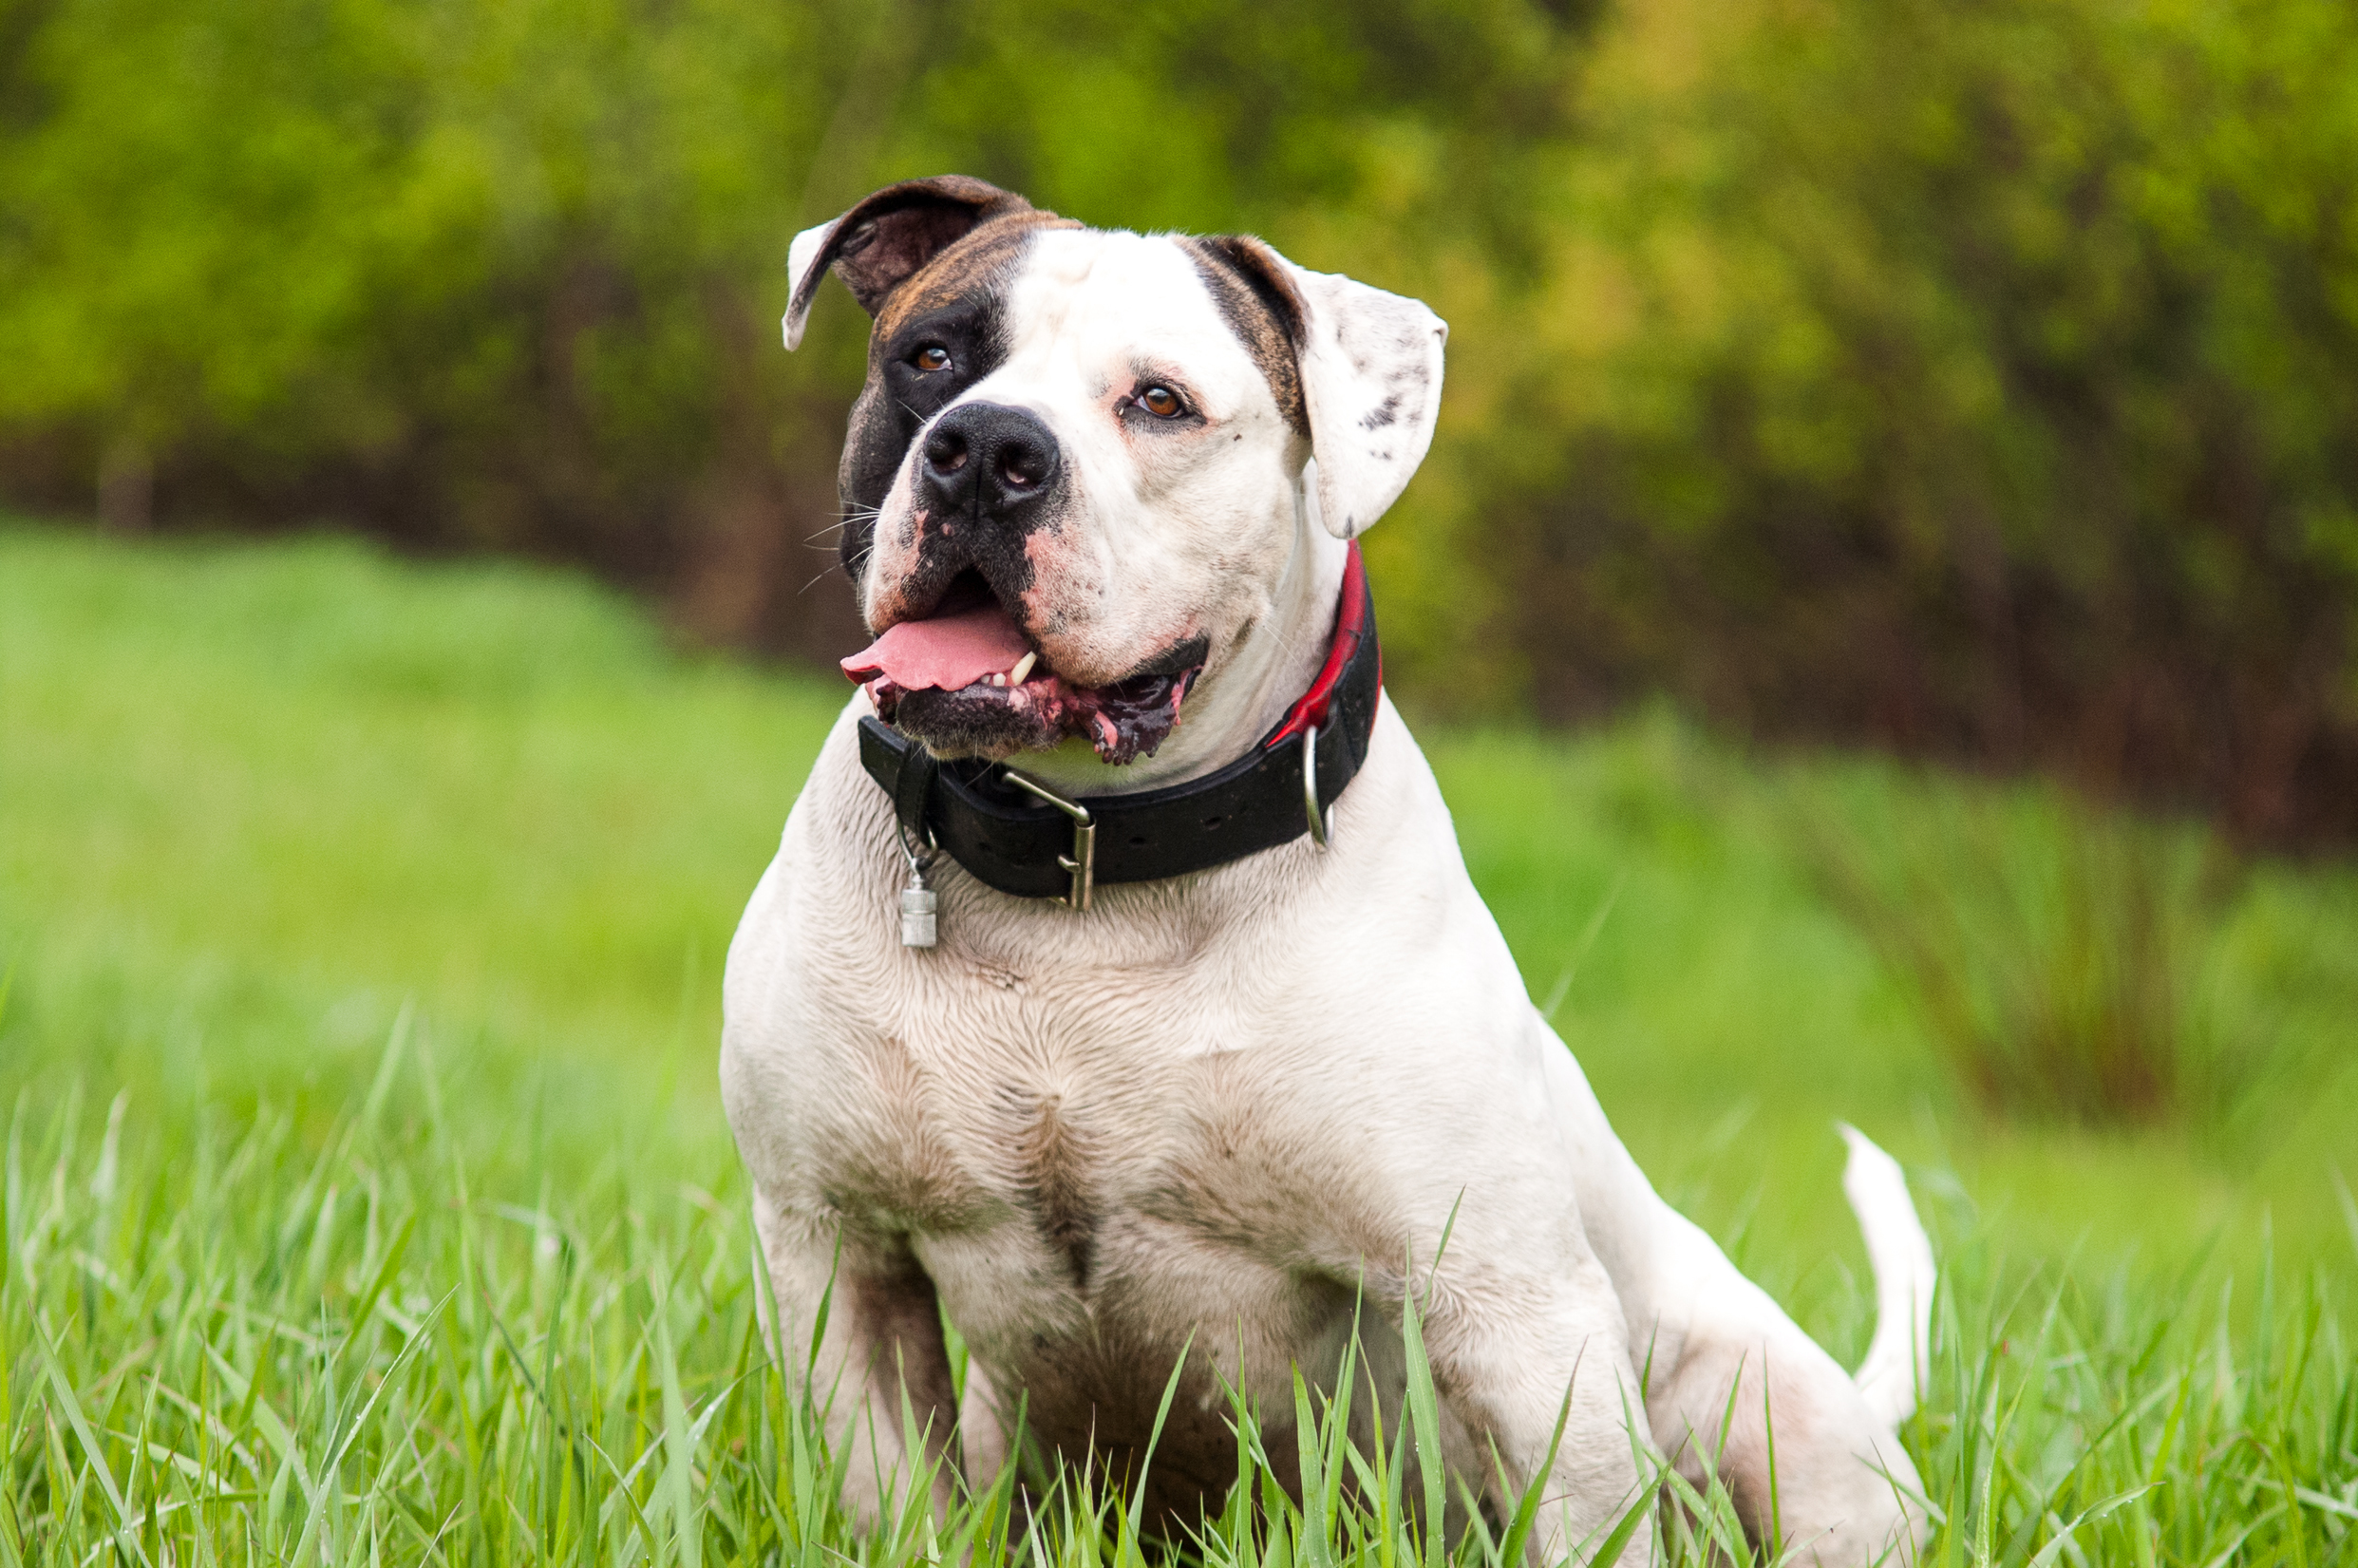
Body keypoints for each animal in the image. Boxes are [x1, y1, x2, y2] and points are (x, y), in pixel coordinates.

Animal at [721, 177, 1934, 1556]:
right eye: (930, 358)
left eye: (1159, 401)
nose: (982, 448)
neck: (1089, 885)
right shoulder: (840, 1260)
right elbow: (889, 1495)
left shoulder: (1514, 1312)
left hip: (1769, 1407)